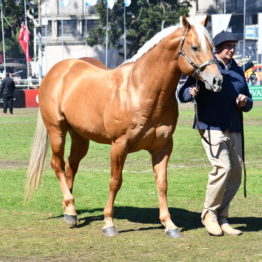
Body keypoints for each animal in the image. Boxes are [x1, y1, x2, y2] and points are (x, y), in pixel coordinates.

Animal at [25, 15, 222, 237]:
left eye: (212, 47)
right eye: (195, 47)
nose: (217, 80)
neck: (140, 89)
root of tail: (58, 70)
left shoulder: (162, 147)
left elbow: (162, 184)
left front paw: (169, 225)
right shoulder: (119, 146)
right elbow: (115, 182)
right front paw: (109, 223)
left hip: (80, 137)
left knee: (71, 167)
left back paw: (70, 211)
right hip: (57, 131)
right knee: (57, 164)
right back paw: (70, 206)